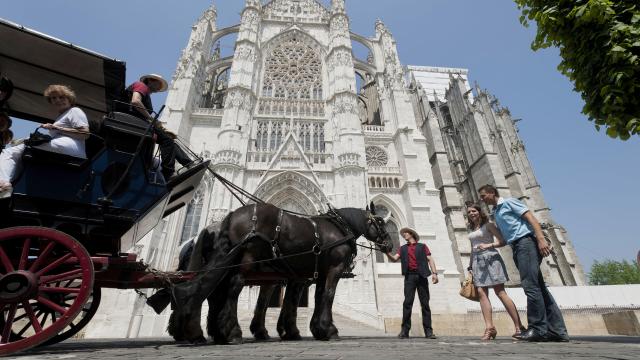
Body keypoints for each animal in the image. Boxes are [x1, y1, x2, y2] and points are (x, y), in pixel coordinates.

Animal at [168, 202, 392, 344]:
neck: (339, 226)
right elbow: (326, 296)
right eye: (381, 222)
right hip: (246, 261)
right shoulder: (331, 270)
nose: (389, 244)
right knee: (232, 287)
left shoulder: (311, 274)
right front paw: (329, 330)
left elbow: (310, 299)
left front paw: (313, 329)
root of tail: (230, 216)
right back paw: (231, 332)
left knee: (211, 291)